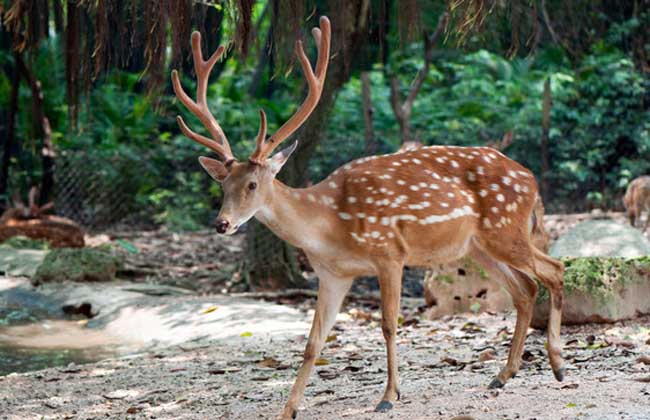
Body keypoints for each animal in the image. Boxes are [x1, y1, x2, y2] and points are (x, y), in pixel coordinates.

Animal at [170, 15, 564, 416]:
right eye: (222, 185)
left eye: (251, 184)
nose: (222, 223)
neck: (331, 227)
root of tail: (531, 178)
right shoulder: (332, 275)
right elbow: (313, 342)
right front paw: (288, 409)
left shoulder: (389, 252)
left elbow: (389, 324)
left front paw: (389, 396)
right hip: (477, 247)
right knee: (525, 289)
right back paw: (503, 374)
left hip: (505, 228)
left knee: (554, 270)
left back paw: (557, 365)